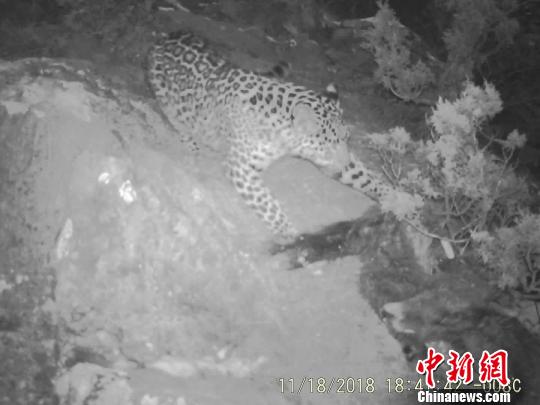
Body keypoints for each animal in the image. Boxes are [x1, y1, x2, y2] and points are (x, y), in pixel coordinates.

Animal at [147, 30, 402, 240]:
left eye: (346, 139)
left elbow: (363, 176)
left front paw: (398, 199)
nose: (342, 164)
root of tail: (166, 35)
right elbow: (268, 205)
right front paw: (293, 235)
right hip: (167, 98)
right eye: (327, 146)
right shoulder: (241, 167)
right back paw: (192, 145)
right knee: (178, 120)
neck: (282, 135)